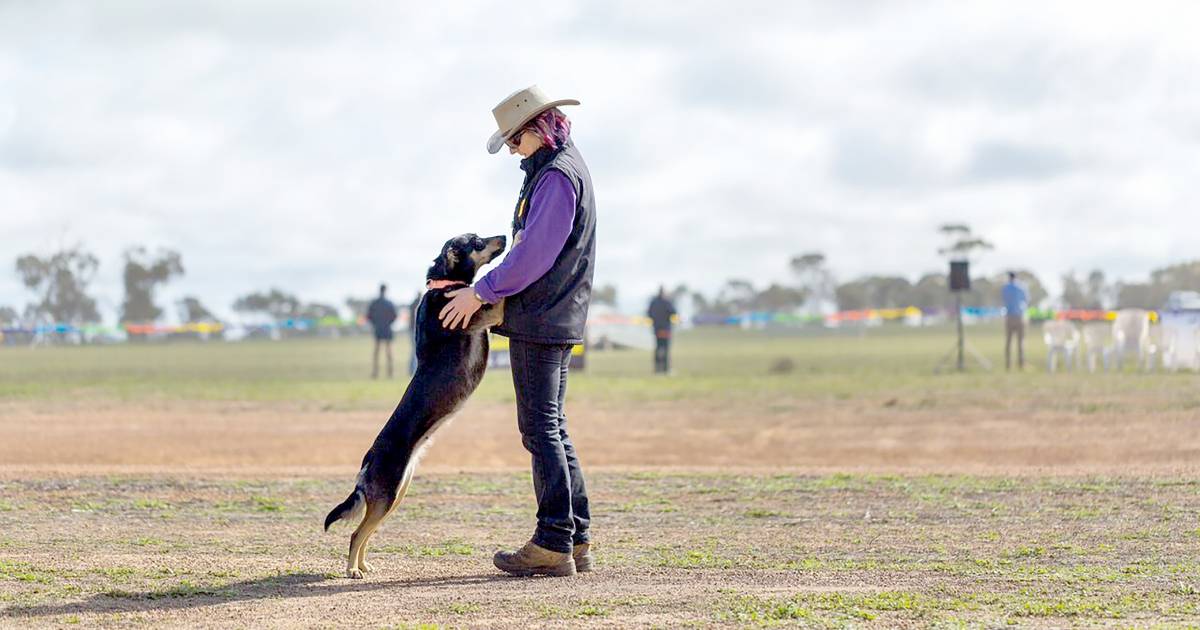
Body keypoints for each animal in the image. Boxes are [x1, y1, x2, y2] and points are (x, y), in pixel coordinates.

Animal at [324, 230, 506, 573]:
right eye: (476, 241)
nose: (504, 235)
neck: (444, 285)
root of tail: (367, 461)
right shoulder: (486, 313)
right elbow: (497, 297)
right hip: (388, 495)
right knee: (356, 534)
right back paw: (352, 569)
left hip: (395, 495)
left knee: (365, 533)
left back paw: (364, 567)